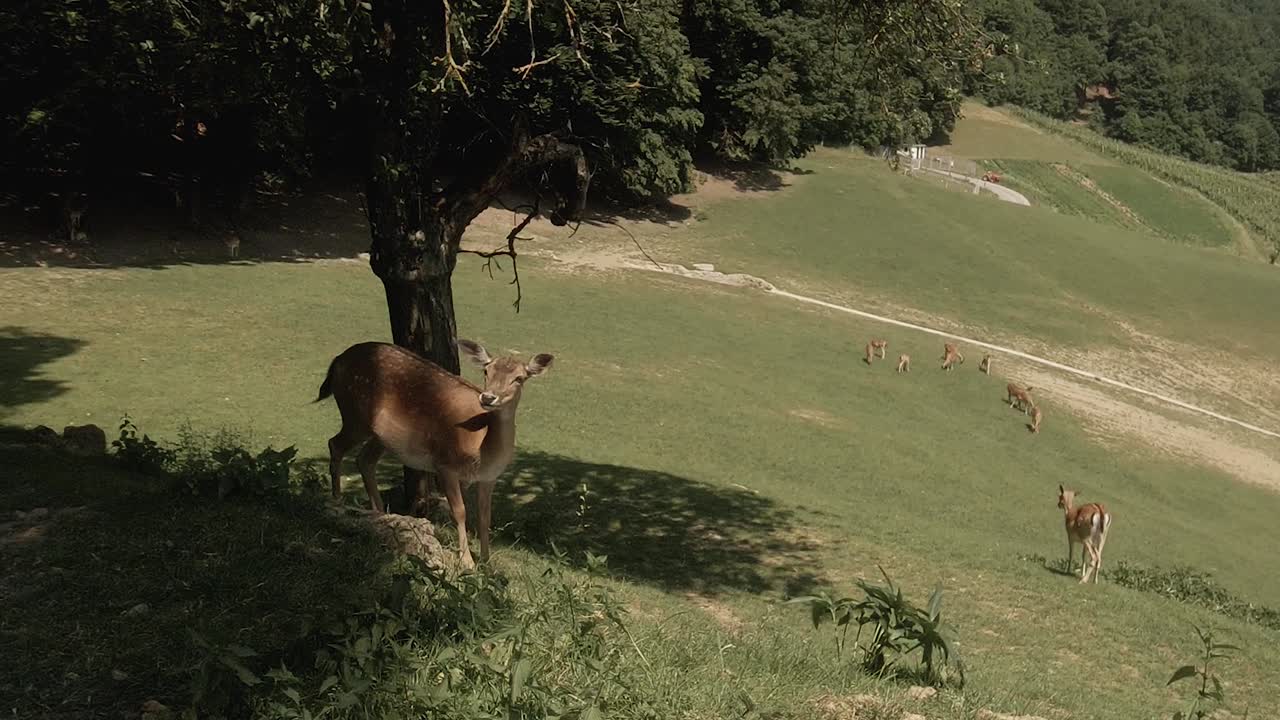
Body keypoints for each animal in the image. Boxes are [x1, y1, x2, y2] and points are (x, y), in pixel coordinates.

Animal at [316, 339, 554, 569]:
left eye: (519, 378)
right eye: (487, 371)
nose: (488, 397)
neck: (482, 449)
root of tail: (337, 361)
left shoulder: (489, 477)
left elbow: (485, 517)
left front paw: (487, 562)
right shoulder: (445, 463)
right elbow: (459, 511)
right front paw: (467, 561)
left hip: (381, 435)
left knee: (364, 459)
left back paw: (381, 514)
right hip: (355, 414)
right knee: (335, 444)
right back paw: (337, 504)